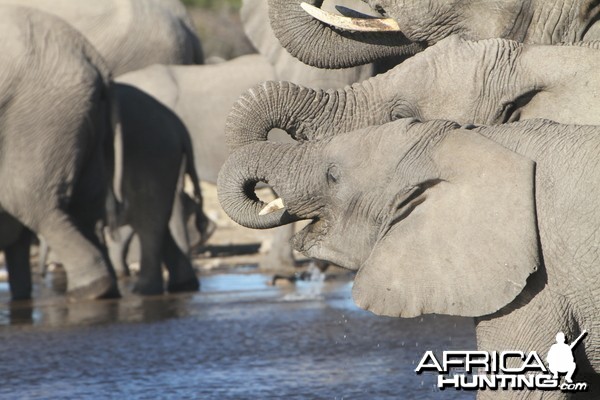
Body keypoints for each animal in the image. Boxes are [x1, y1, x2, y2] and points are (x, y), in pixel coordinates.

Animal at [0, 5, 119, 300]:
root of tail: (92, 57)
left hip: (42, 114)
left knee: (26, 199)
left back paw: (91, 290)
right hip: (83, 119)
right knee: (85, 209)